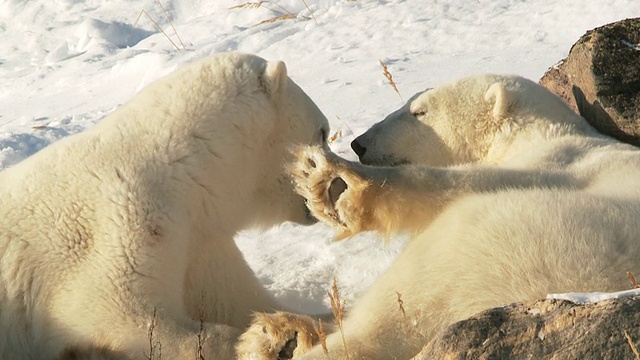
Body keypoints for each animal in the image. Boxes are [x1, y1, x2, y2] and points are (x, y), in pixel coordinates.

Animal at [0, 52, 330, 358]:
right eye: (323, 132)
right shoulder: (124, 221)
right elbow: (119, 315)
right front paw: (263, 341)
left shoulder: (199, 240)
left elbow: (237, 298)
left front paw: (313, 322)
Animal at [236, 74, 640, 358]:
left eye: (420, 111)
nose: (359, 142)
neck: (539, 130)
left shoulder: (561, 161)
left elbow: (462, 184)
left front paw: (330, 179)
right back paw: (277, 332)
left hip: (533, 240)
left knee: (408, 297)